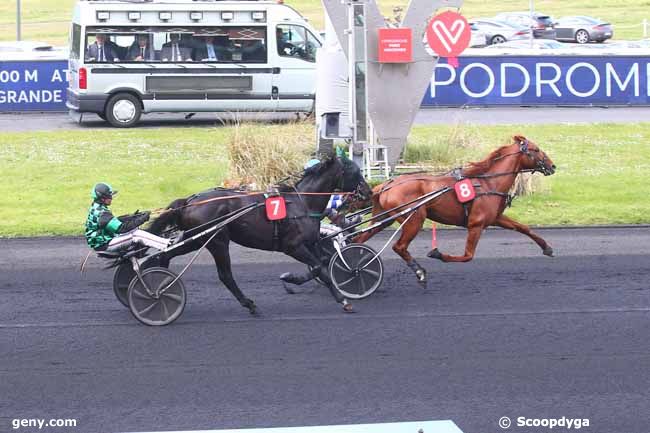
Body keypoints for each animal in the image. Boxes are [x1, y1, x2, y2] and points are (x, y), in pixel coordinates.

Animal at [352, 135, 556, 286]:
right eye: (536, 149)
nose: (552, 166)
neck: (488, 182)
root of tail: (386, 185)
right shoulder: (476, 224)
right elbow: (467, 256)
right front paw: (437, 253)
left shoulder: (495, 218)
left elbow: (523, 228)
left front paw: (547, 248)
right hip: (414, 218)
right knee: (399, 246)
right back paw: (419, 271)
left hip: (384, 219)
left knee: (359, 240)